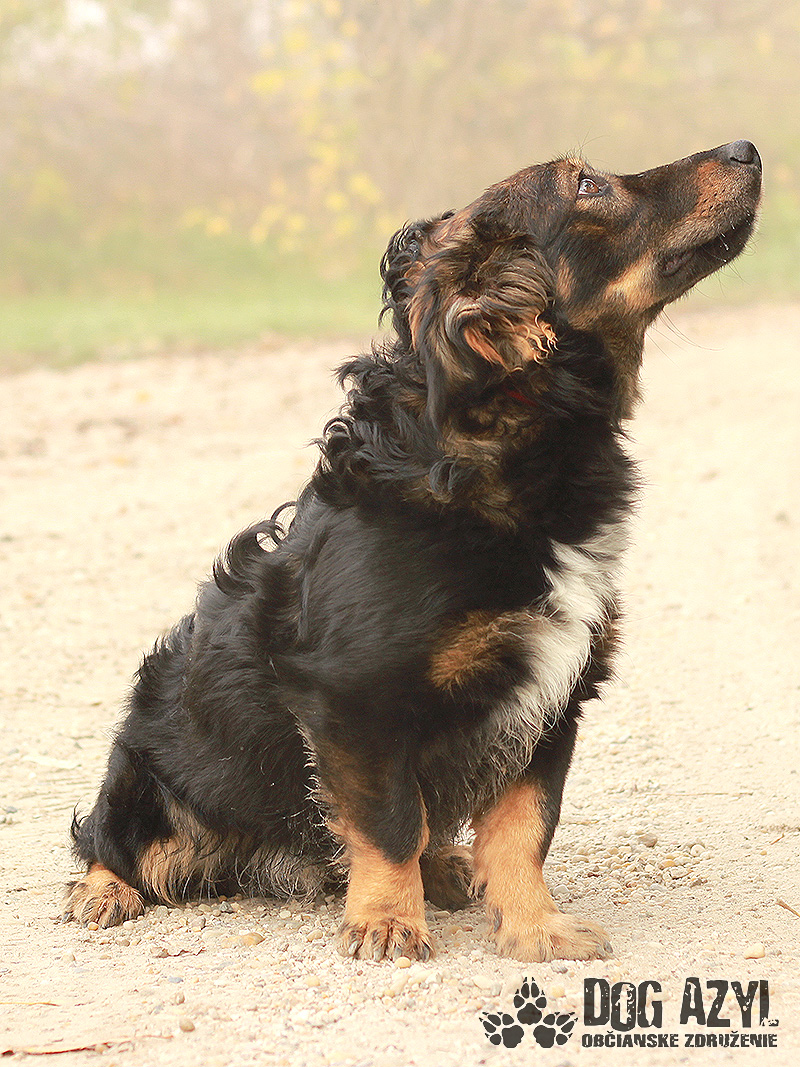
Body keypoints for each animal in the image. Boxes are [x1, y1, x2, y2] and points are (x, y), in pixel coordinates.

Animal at [64, 141, 761, 962]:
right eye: (587, 184)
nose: (748, 149)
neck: (508, 435)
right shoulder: (354, 696)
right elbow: (391, 821)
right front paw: (388, 923)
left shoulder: (554, 693)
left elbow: (524, 828)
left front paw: (535, 928)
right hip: (141, 766)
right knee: (108, 840)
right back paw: (103, 892)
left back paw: (447, 869)